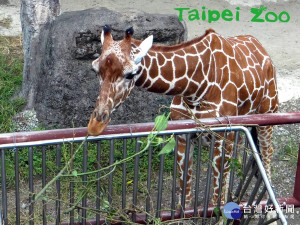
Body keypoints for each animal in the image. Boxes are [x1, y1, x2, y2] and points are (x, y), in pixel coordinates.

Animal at [86, 25, 278, 207]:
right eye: (95, 70)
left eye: (130, 74)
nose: (96, 124)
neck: (196, 87)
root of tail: (262, 49)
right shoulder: (184, 135)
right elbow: (185, 194)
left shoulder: (222, 135)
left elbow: (216, 197)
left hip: (268, 113)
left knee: (266, 154)